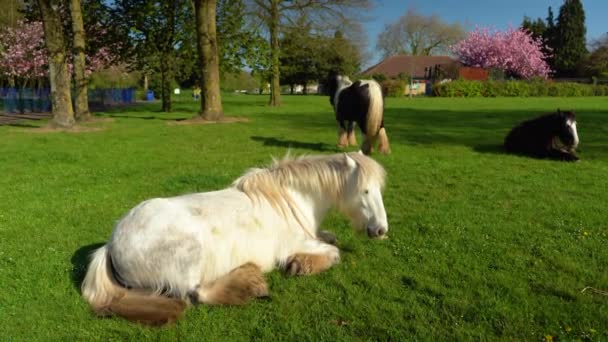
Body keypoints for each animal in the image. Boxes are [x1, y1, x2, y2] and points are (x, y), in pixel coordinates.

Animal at [81, 152, 388, 326]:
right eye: (365, 190)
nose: (381, 230)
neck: (290, 199)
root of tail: (111, 245)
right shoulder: (298, 244)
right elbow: (334, 253)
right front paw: (300, 265)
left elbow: (331, 239)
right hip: (190, 260)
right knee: (196, 294)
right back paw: (250, 283)